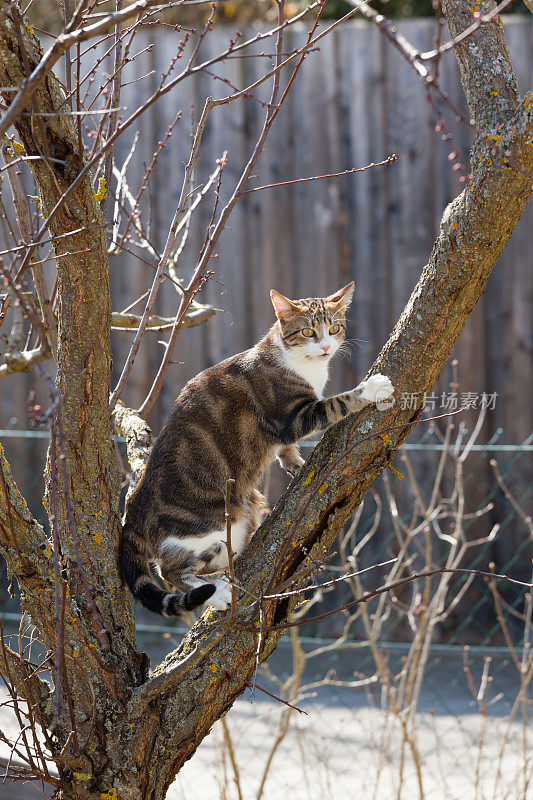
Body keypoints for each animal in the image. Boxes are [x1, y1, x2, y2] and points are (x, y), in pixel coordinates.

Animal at [121, 284, 394, 616]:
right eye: (307, 331)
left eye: (334, 328)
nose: (326, 347)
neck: (303, 363)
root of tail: (137, 501)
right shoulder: (291, 415)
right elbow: (335, 404)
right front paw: (371, 388)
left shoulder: (284, 432)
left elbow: (286, 451)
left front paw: (297, 466)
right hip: (215, 522)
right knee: (169, 570)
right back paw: (215, 593)